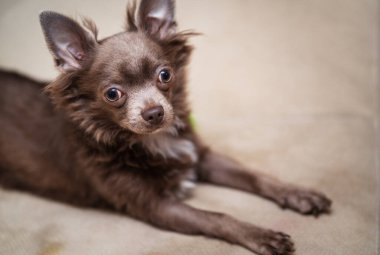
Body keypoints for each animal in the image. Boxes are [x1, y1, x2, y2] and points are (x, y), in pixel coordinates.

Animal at [0, 0, 332, 254]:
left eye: (165, 75)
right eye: (112, 94)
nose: (154, 112)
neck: (152, 141)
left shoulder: (199, 157)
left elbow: (255, 176)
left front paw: (297, 193)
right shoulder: (156, 206)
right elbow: (216, 217)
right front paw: (259, 234)